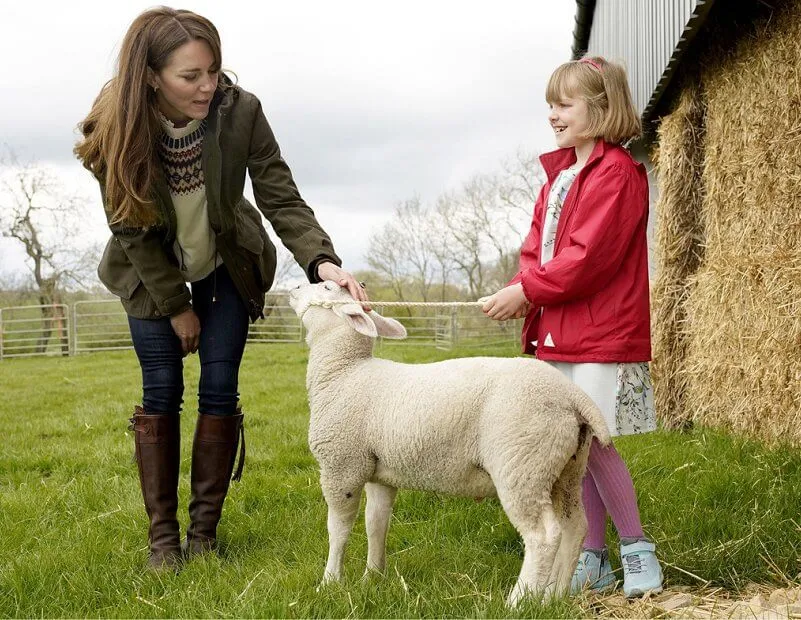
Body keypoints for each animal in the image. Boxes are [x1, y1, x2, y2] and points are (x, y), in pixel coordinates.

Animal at [290, 280, 608, 604]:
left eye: (327, 287)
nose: (296, 286)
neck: (345, 371)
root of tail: (572, 395)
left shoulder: (341, 466)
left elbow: (338, 529)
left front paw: (329, 582)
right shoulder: (379, 472)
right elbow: (376, 524)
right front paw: (373, 576)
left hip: (521, 464)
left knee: (543, 536)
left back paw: (517, 603)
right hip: (564, 467)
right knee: (574, 527)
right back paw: (553, 597)